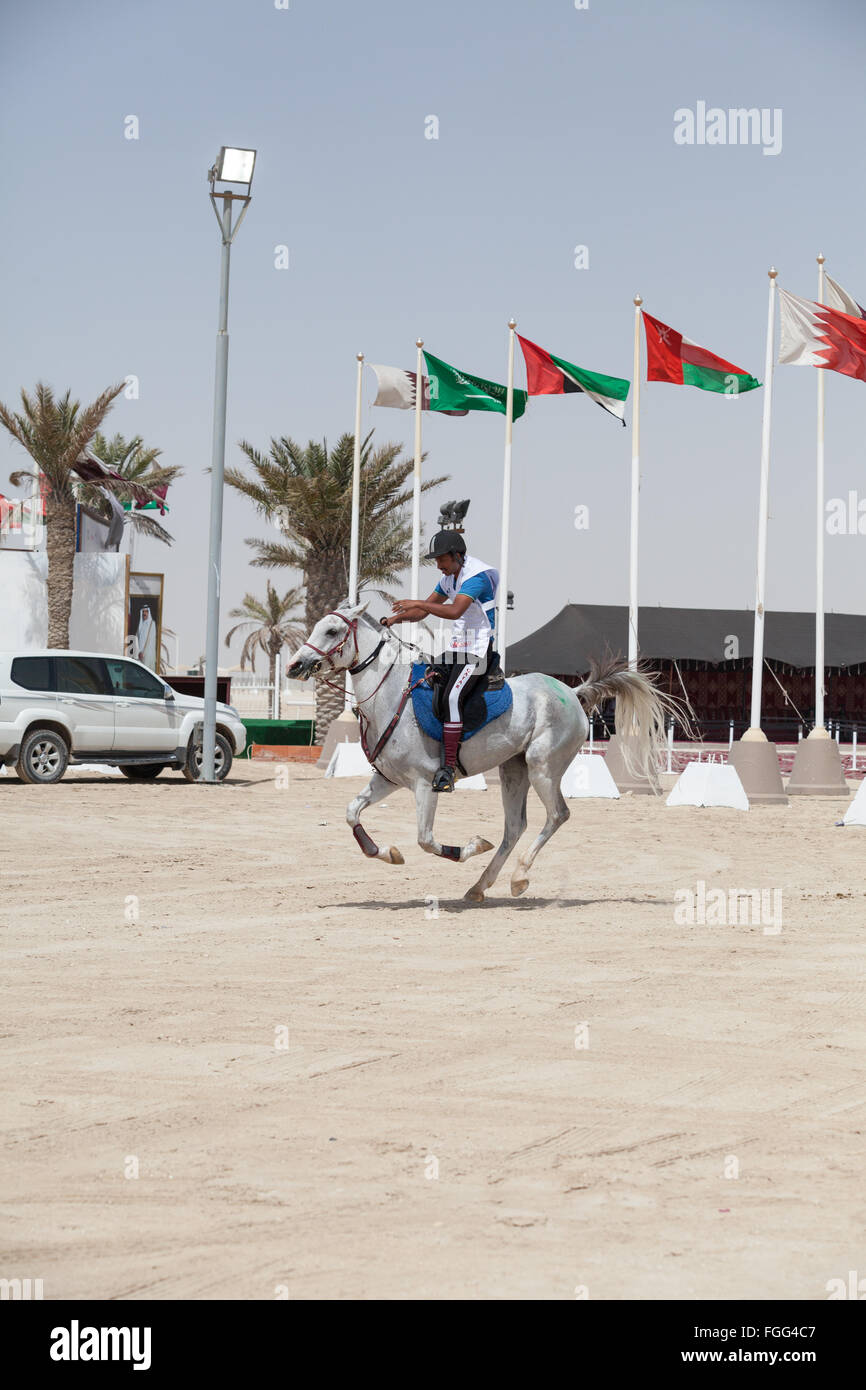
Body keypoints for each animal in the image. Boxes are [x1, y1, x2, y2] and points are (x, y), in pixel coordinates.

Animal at [287, 603, 675, 906]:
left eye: (332, 630)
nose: (294, 665)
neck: (391, 694)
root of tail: (573, 691)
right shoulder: (388, 781)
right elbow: (352, 813)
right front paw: (387, 853)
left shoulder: (425, 784)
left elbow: (426, 840)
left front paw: (470, 847)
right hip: (513, 770)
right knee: (515, 827)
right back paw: (479, 886)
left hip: (542, 768)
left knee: (557, 815)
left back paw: (519, 877)